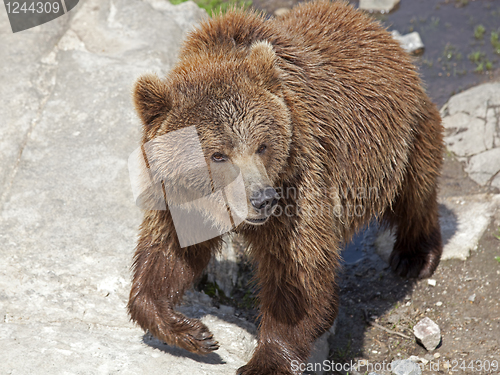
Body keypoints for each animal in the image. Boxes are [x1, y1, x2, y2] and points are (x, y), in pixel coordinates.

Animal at [127, 1, 444, 374]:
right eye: (218, 154)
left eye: (262, 145)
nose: (262, 199)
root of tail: (375, 29)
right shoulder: (176, 193)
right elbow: (169, 251)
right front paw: (192, 331)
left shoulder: (300, 180)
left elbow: (297, 274)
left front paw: (264, 361)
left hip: (403, 135)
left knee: (415, 190)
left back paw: (415, 255)